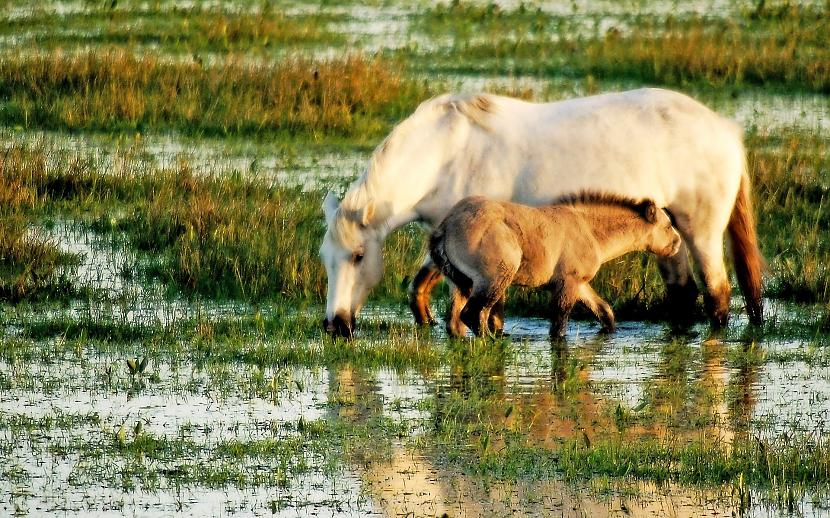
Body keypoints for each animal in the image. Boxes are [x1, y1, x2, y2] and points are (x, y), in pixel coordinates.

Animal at [428, 194, 684, 338]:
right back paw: (490, 340)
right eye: (668, 225)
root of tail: (446, 226)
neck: (591, 232)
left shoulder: (579, 283)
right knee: (473, 314)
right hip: (494, 278)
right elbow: (559, 324)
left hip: (461, 283)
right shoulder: (568, 282)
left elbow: (605, 311)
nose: (678, 242)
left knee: (454, 322)